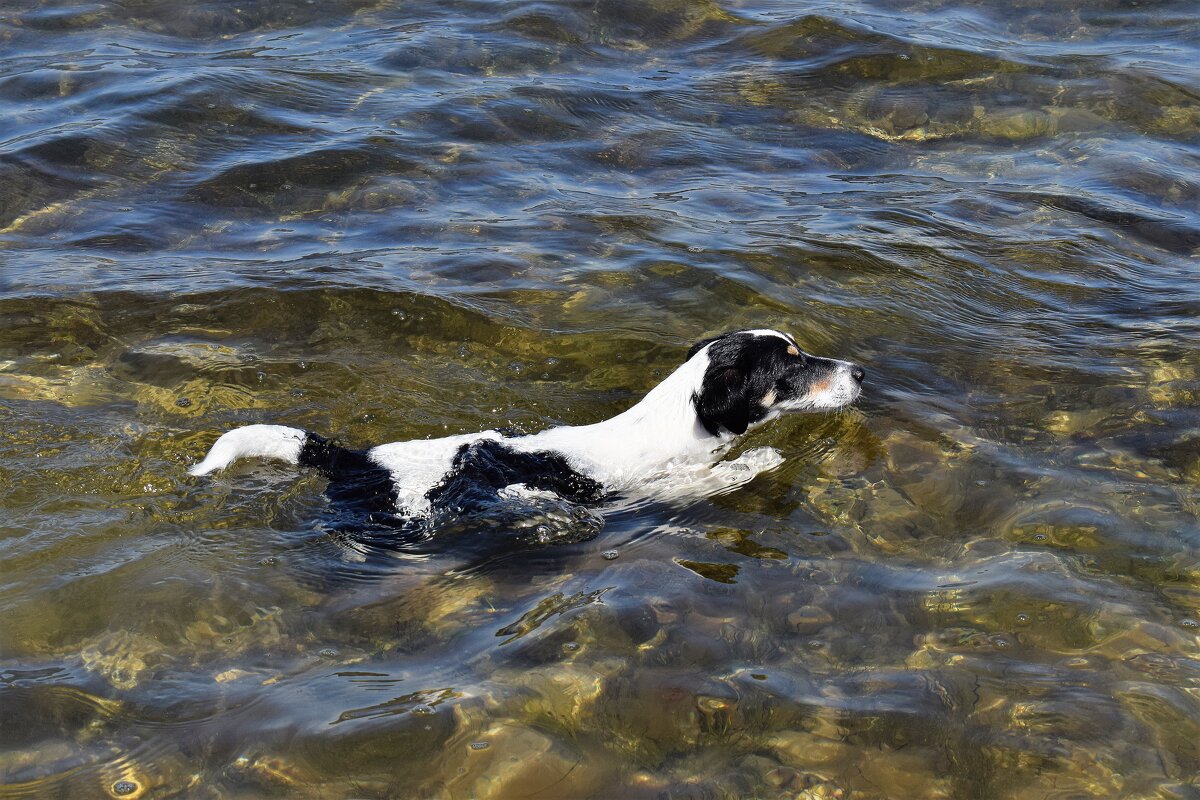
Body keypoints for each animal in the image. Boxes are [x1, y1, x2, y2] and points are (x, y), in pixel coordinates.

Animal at [184, 331, 864, 522]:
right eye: (791, 364)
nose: (861, 372)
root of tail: (359, 457)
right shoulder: (652, 491)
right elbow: (713, 479)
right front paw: (761, 462)